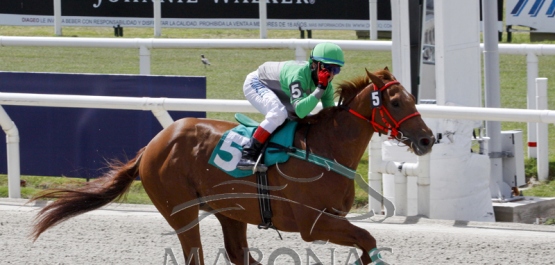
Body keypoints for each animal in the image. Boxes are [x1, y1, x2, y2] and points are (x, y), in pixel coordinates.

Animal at [30, 68, 434, 264]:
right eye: (396, 102)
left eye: (414, 96)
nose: (428, 139)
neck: (327, 149)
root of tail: (151, 146)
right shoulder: (313, 224)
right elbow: (367, 238)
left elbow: (366, 244)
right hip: (180, 211)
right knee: (196, 257)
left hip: (231, 212)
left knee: (239, 255)